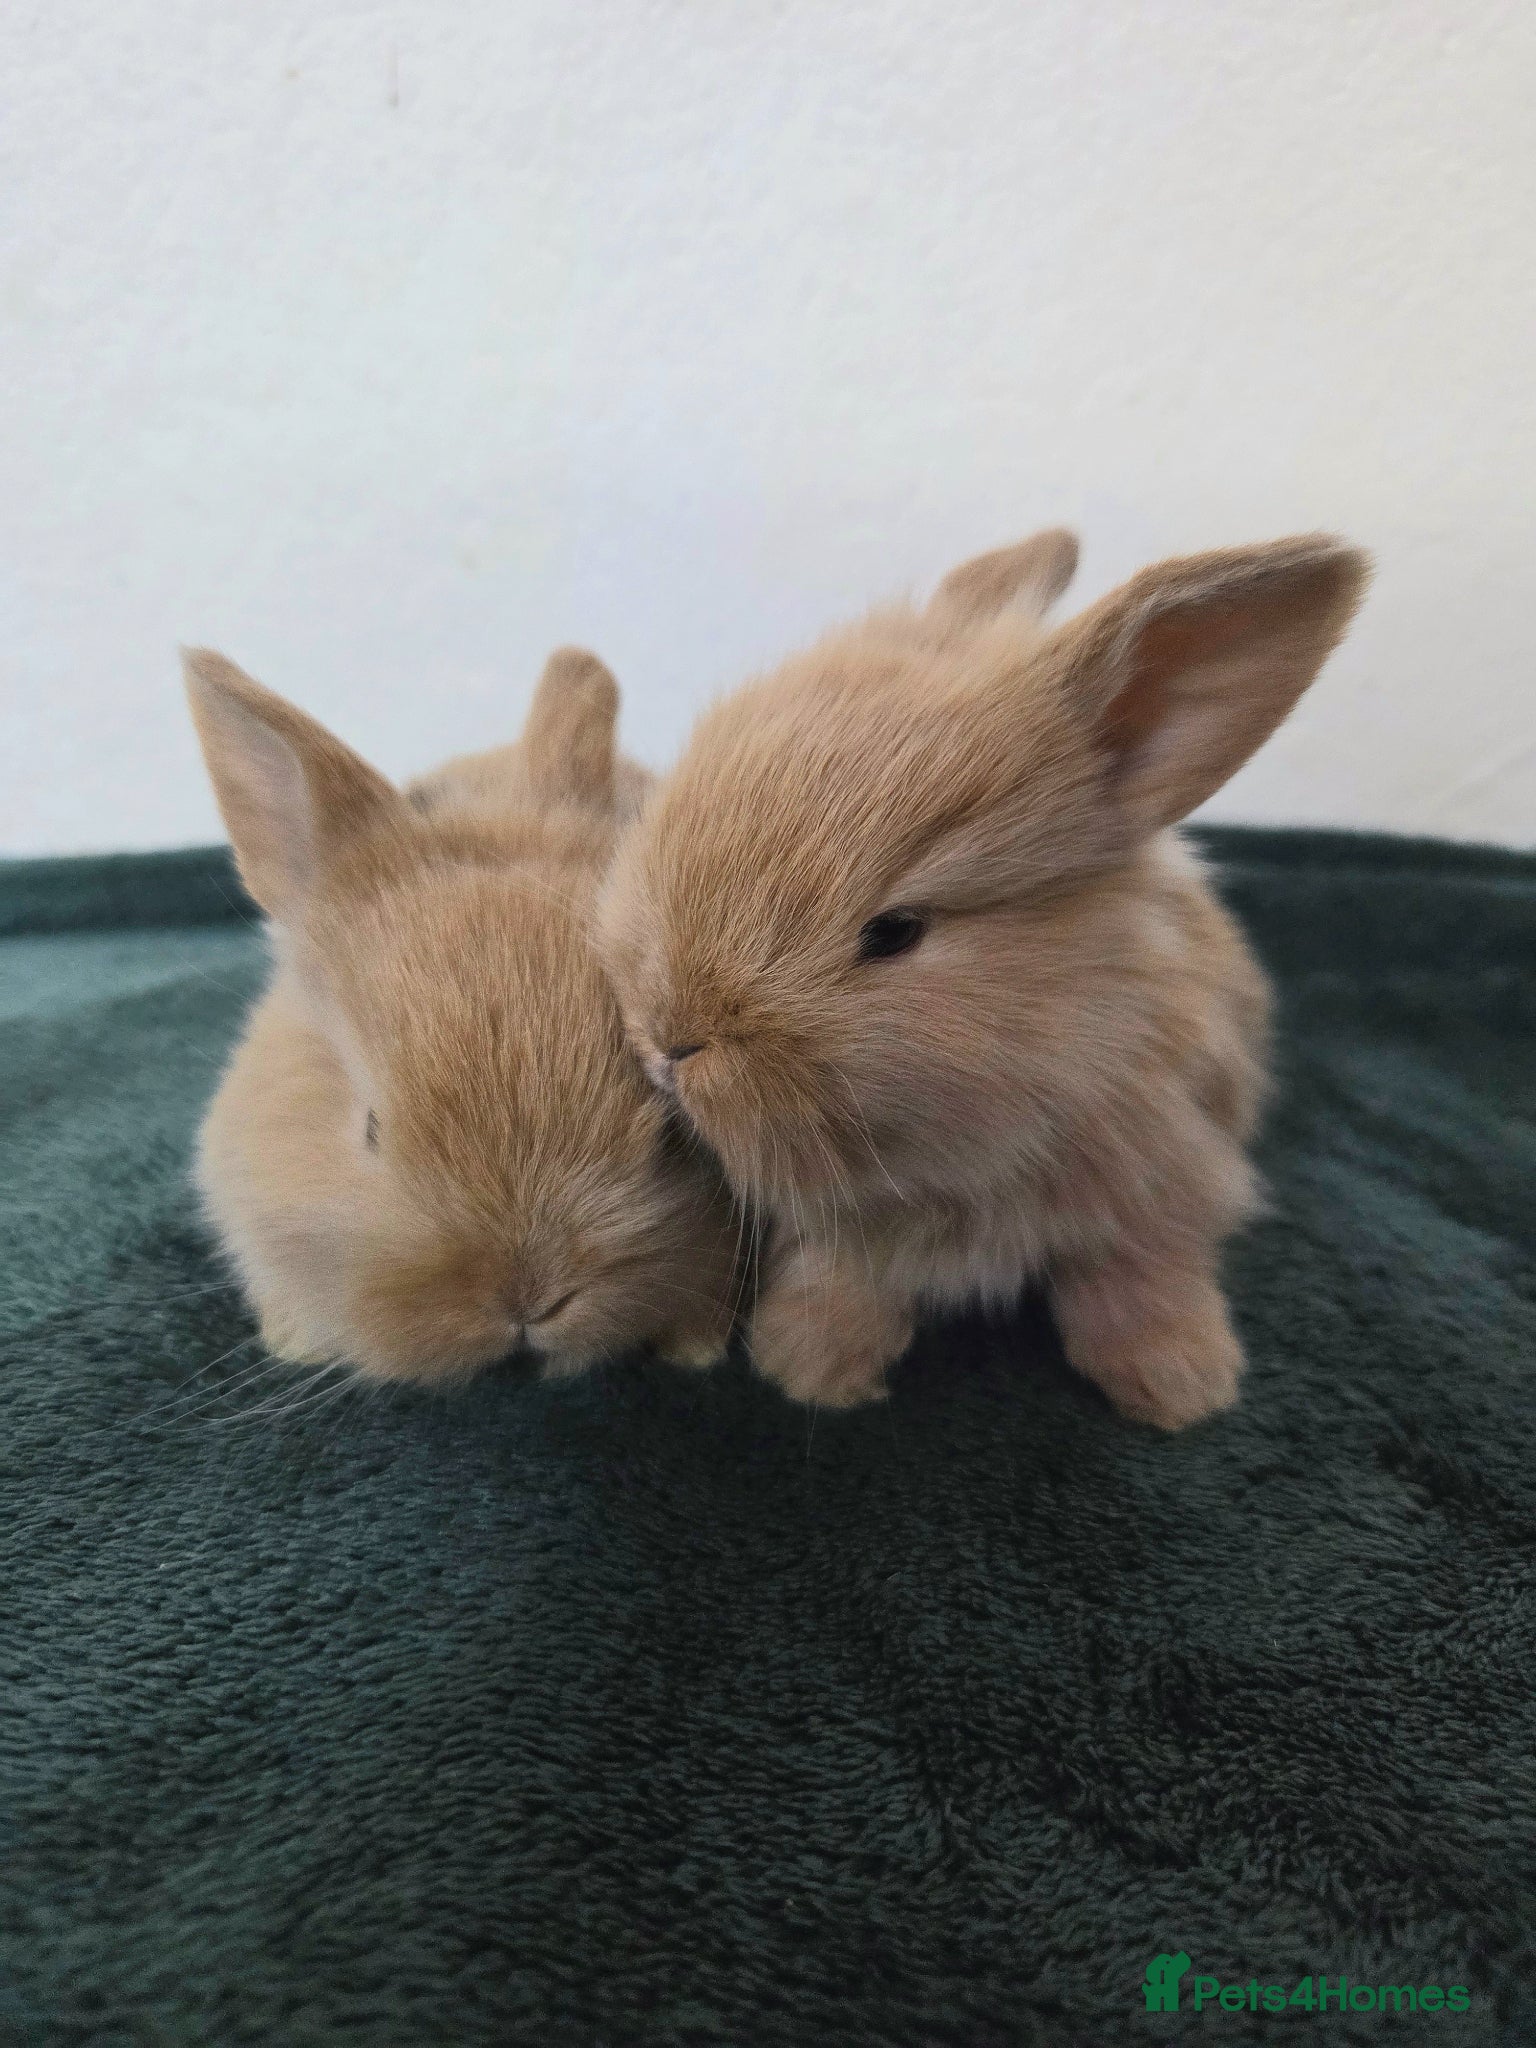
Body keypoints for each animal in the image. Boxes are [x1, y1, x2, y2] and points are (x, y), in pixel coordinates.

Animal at [597, 530, 1370, 1428]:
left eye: (894, 933)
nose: (668, 1043)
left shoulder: (1166, 1176)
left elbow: (1144, 1275)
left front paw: (1181, 1387)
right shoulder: (848, 1231)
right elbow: (845, 1279)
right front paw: (812, 1370)